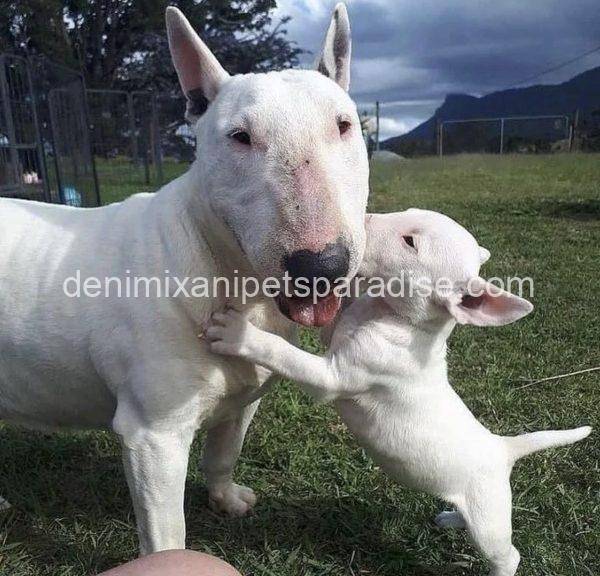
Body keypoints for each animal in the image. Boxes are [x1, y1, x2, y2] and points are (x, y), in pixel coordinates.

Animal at [0, 3, 368, 552]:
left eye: (344, 126)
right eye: (240, 137)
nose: (321, 266)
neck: (230, 276)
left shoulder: (244, 399)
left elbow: (223, 453)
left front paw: (226, 498)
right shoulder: (152, 437)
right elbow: (167, 532)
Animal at [209, 209, 592, 572]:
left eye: (410, 242)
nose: (360, 220)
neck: (395, 317)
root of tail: (503, 449)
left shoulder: (334, 377)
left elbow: (284, 353)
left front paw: (237, 333)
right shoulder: (336, 334)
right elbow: (331, 322)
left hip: (489, 519)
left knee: (507, 555)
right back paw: (451, 518)